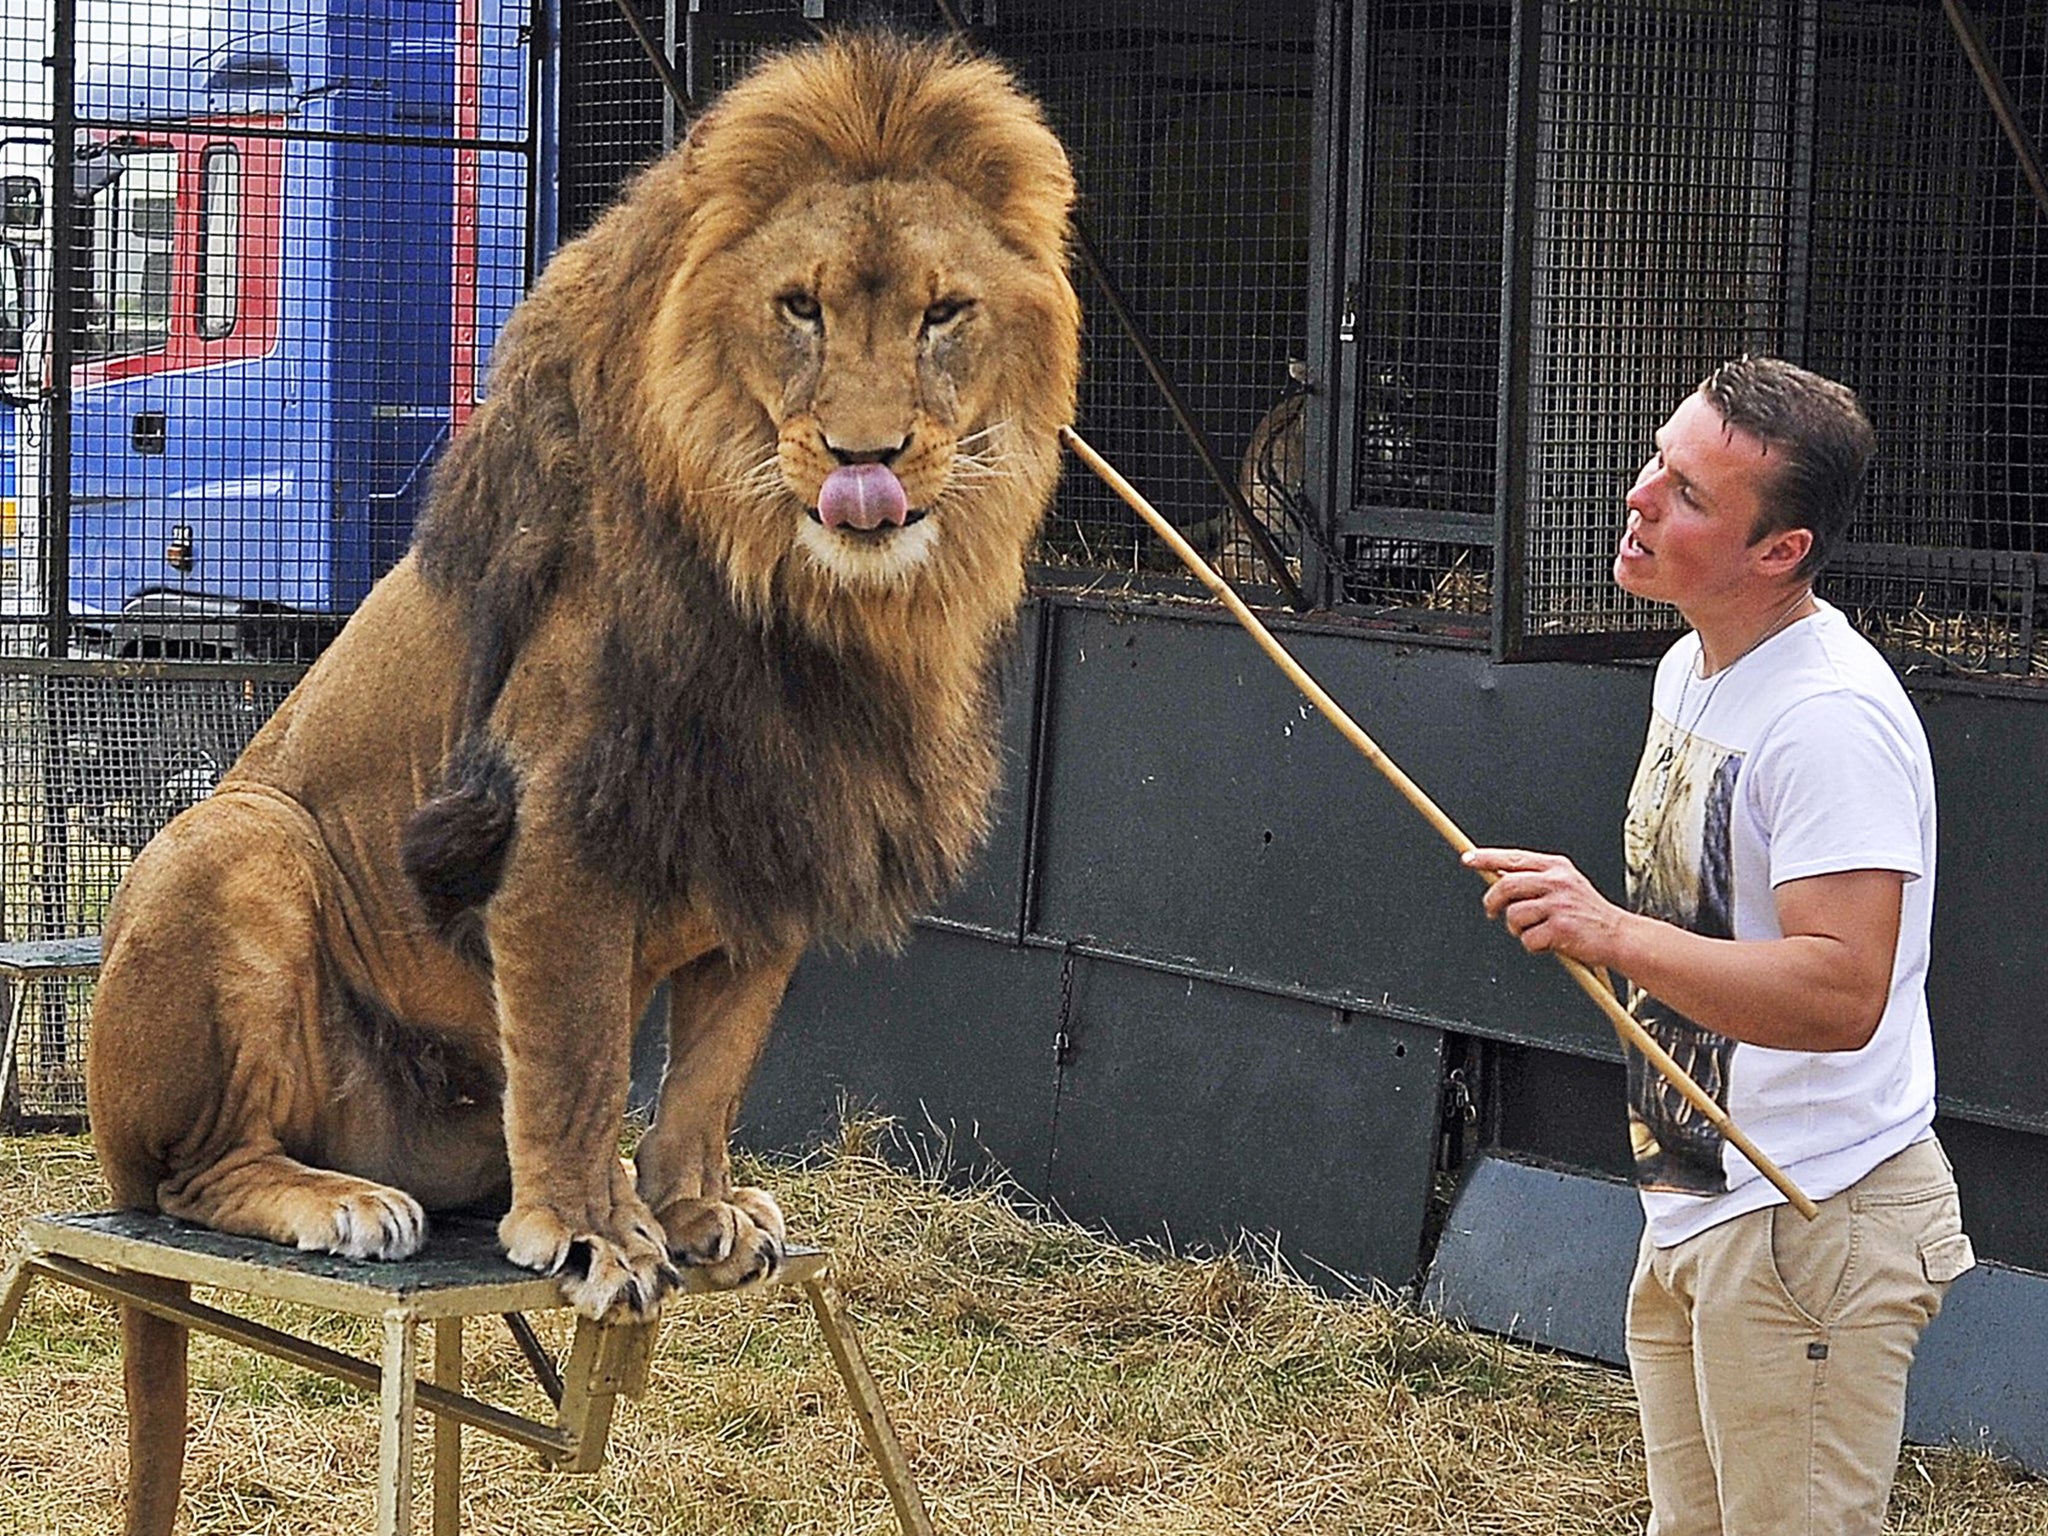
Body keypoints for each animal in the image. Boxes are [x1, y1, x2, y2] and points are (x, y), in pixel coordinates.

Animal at [79, 36, 1081, 1536]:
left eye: (943, 314)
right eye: (798, 308)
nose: (867, 460)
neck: (804, 601)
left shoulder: (771, 847)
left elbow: (711, 1068)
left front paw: (697, 1210)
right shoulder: (556, 835)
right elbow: (570, 1050)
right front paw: (592, 1234)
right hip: (230, 842)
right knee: (188, 1176)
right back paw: (337, 1200)